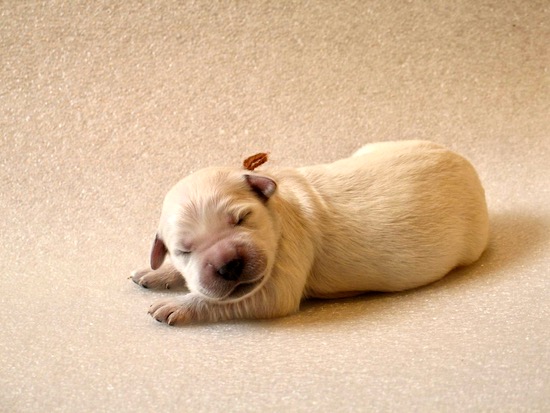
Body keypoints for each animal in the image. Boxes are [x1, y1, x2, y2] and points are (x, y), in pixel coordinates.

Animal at [132, 140, 489, 325]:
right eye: (184, 250)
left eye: (242, 218)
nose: (229, 265)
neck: (278, 210)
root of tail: (465, 162)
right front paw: (157, 274)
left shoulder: (279, 277)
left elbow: (232, 299)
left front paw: (176, 306)